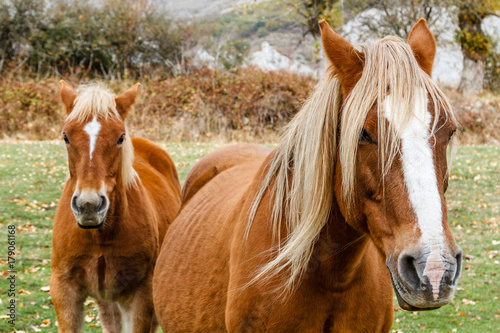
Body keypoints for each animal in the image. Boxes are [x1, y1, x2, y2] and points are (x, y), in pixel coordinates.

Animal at [48, 81, 181, 330]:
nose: (89, 206)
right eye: (66, 137)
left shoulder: (141, 296)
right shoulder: (64, 292)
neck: (99, 236)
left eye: (120, 137)